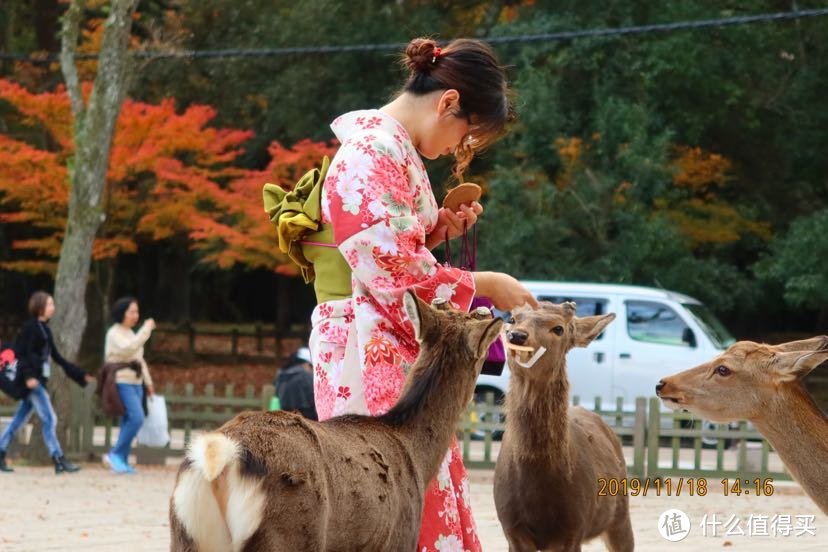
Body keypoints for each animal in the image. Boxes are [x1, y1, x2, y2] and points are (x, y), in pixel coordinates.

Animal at [492, 302, 632, 552]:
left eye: (559, 328)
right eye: (514, 319)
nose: (517, 335)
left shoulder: (573, 527)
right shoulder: (511, 527)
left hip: (621, 512)